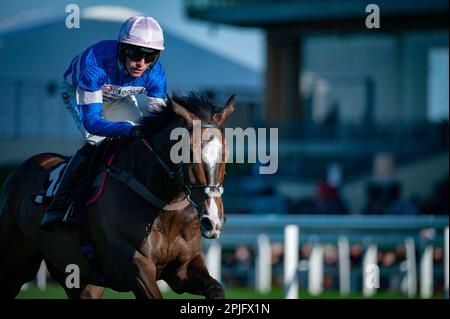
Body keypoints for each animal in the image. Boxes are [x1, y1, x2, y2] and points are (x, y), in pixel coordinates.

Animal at [0, 92, 236, 300]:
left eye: (225, 153)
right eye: (188, 152)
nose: (212, 221)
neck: (163, 206)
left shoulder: (182, 268)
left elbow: (216, 289)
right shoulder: (136, 268)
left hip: (79, 278)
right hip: (14, 266)